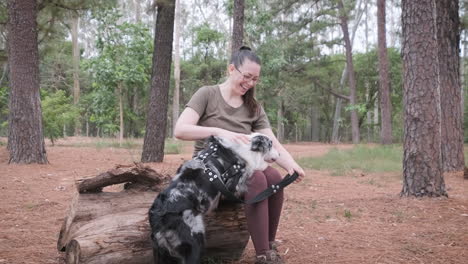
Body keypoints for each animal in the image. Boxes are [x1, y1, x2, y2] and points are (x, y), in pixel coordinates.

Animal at [149, 134, 278, 264]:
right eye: (271, 145)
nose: (279, 154)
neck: (247, 147)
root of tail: (159, 218)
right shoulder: (233, 185)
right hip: (195, 241)